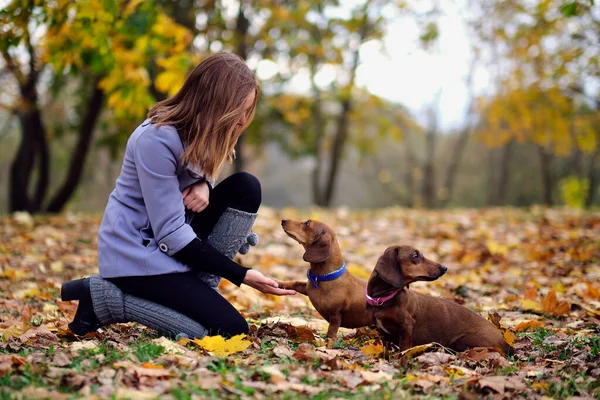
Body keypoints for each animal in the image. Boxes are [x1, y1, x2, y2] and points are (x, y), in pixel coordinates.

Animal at [368, 245, 512, 354]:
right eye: (415, 255)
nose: (444, 268)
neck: (384, 299)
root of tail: (504, 341)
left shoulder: (407, 326)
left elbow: (403, 349)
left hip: (463, 341)